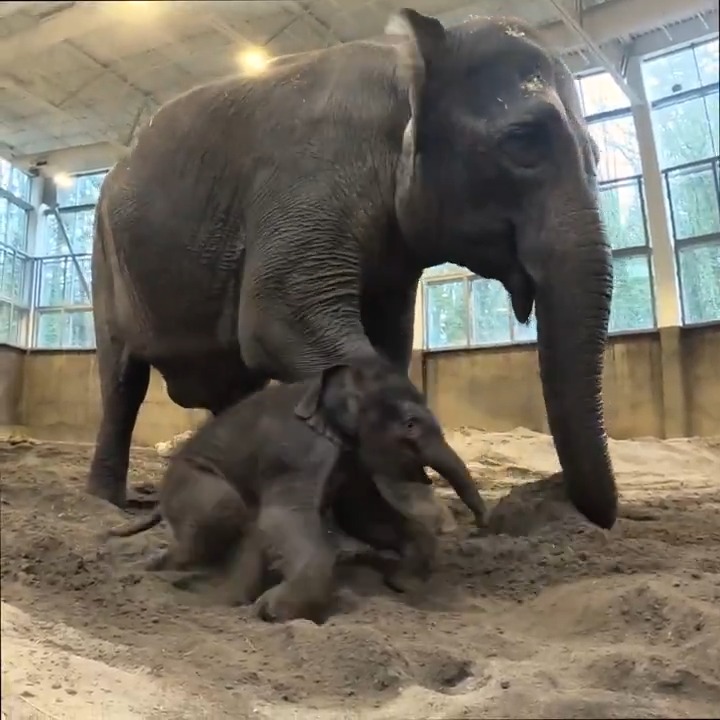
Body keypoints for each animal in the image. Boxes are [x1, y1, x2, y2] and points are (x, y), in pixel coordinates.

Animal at [88, 8, 617, 530]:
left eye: (596, 155)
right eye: (523, 142)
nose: (563, 505)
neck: (403, 68)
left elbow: (391, 340)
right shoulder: (309, 177)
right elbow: (278, 322)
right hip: (105, 254)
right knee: (122, 381)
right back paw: (109, 502)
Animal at [107, 356, 484, 622]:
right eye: (410, 425)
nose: (480, 523)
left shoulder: (351, 458)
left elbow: (364, 516)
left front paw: (405, 583)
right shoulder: (298, 453)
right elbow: (286, 517)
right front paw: (272, 611)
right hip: (190, 482)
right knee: (223, 512)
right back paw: (161, 572)